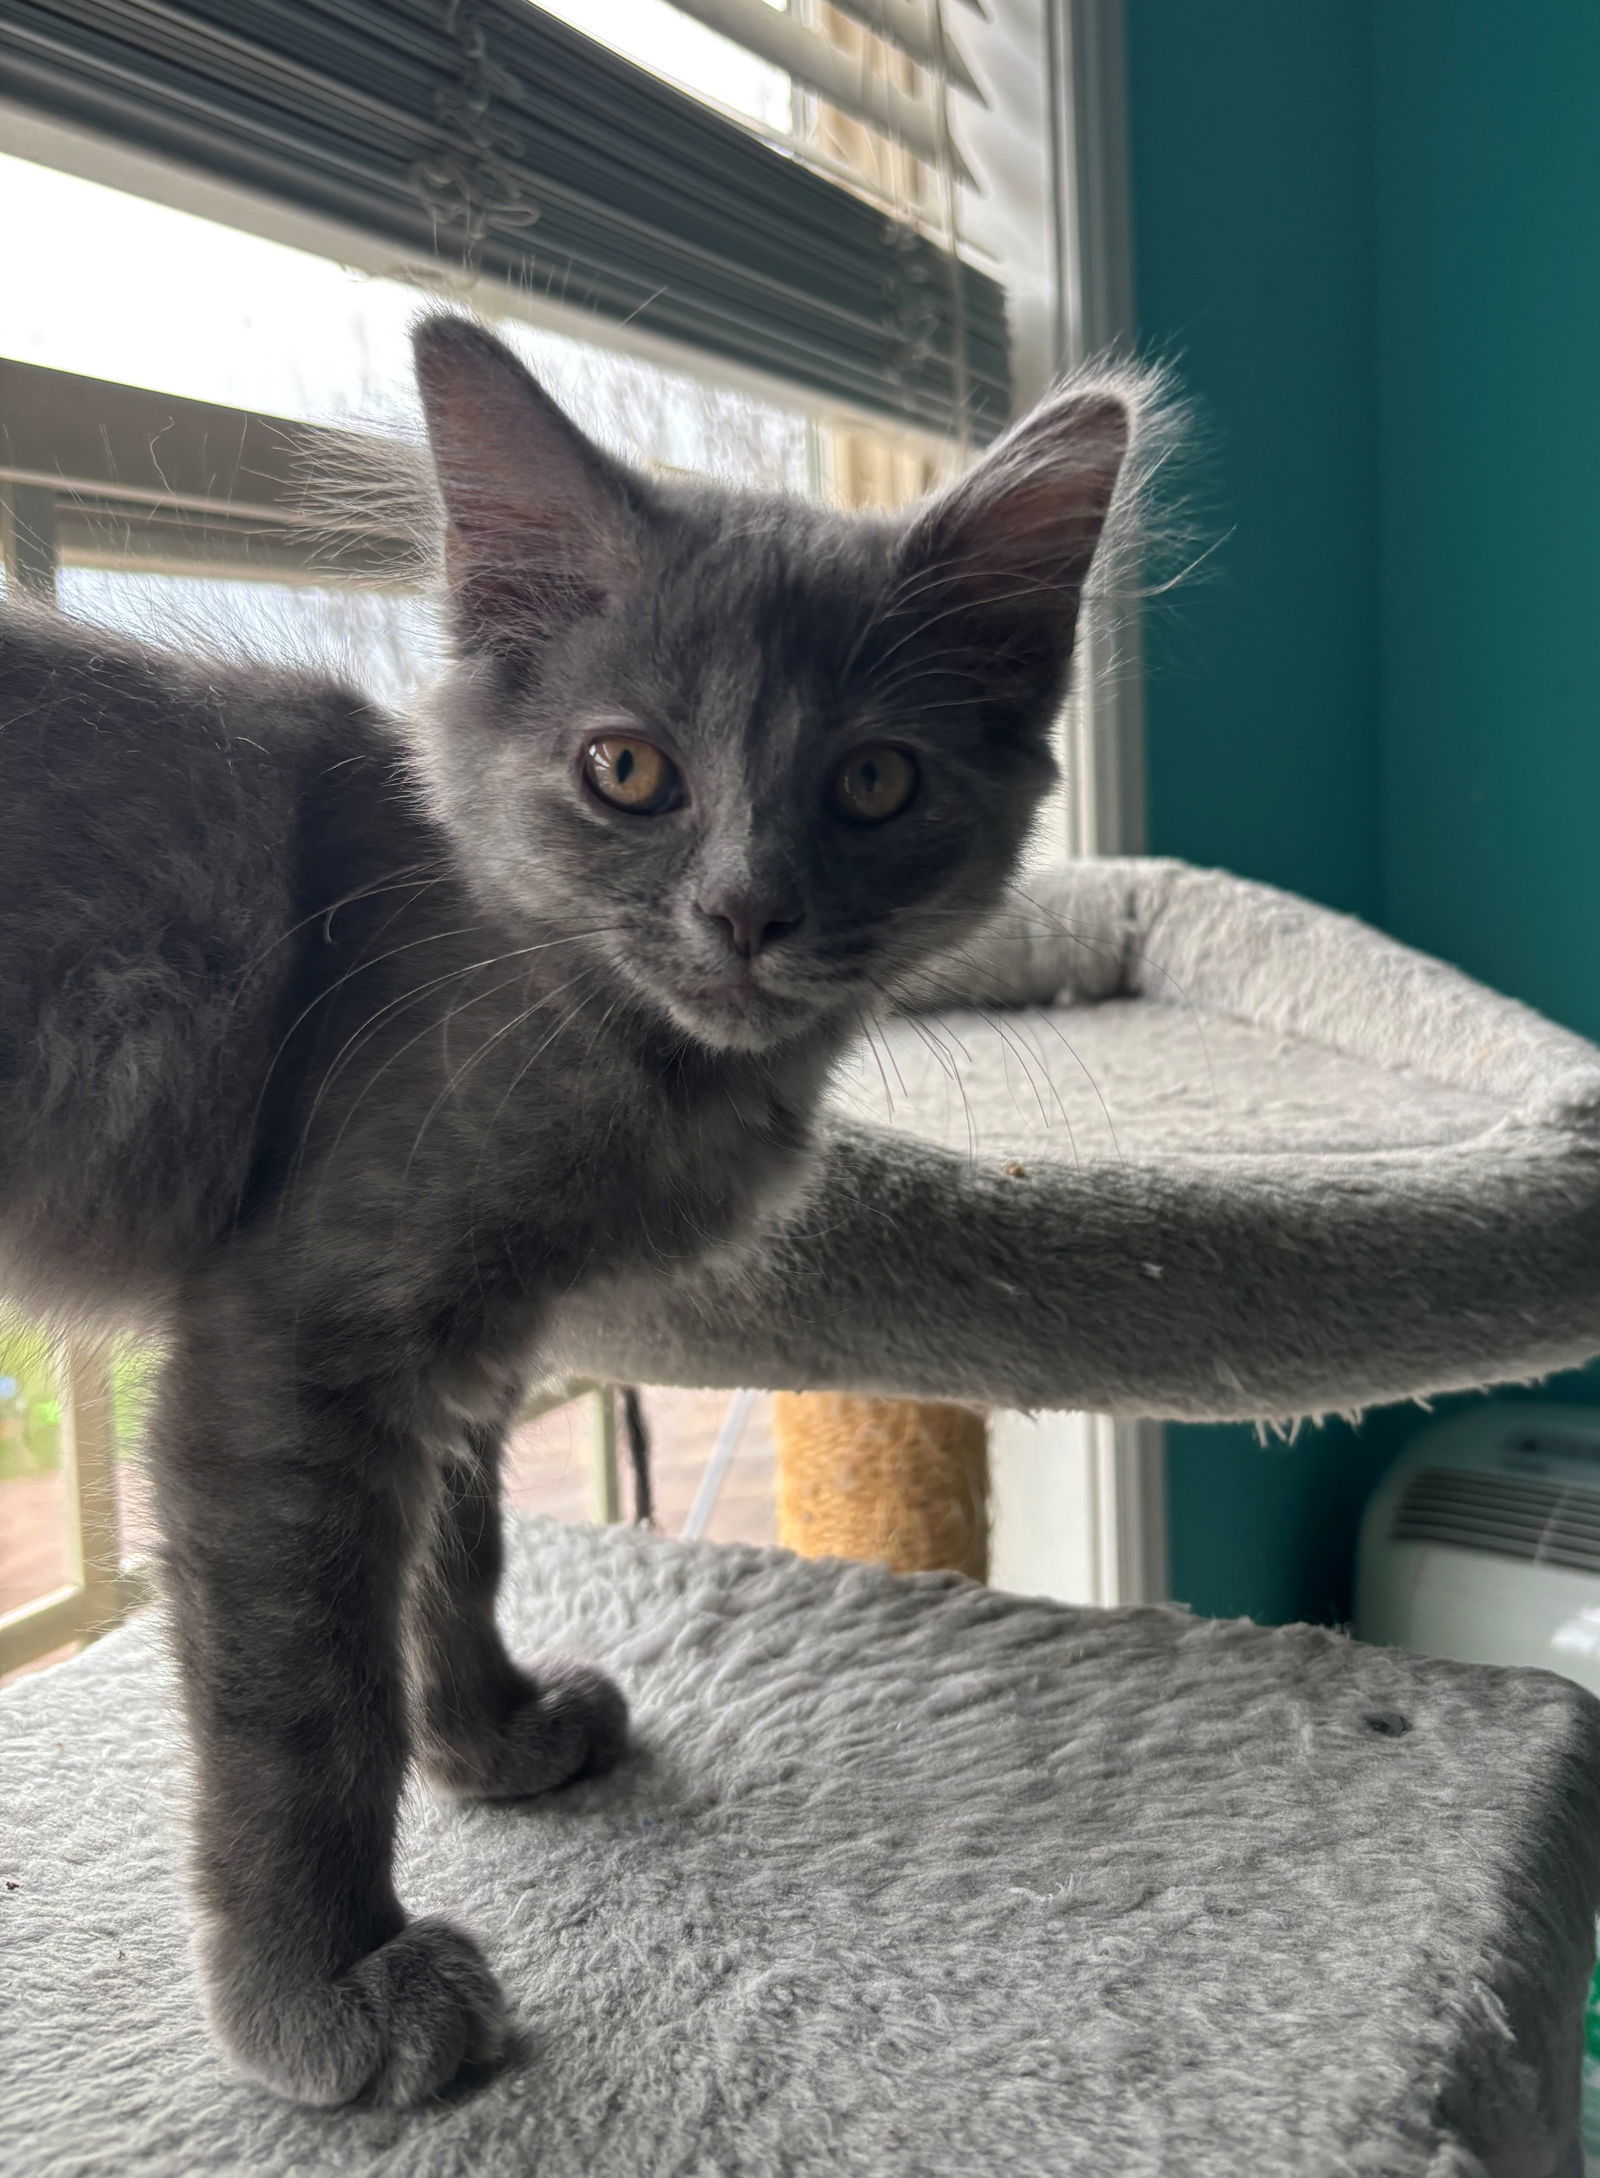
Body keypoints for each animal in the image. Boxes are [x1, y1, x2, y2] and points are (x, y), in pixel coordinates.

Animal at [0, 315, 1131, 2099]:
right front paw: (327, 1983)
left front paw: (489, 1733)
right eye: (628, 770)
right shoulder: (288, 1343)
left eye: (877, 782)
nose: (747, 911)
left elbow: (454, 1552)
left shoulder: (466, 1337)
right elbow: (303, 1698)